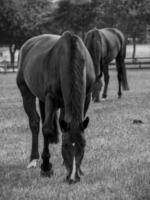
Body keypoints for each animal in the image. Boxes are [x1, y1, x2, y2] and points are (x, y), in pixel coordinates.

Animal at [16, 30, 95, 184]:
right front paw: (46, 168)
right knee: (35, 123)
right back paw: (34, 159)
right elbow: (47, 129)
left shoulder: (86, 97)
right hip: (26, 92)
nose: (73, 177)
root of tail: (27, 45)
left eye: (83, 145)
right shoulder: (51, 98)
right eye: (65, 146)